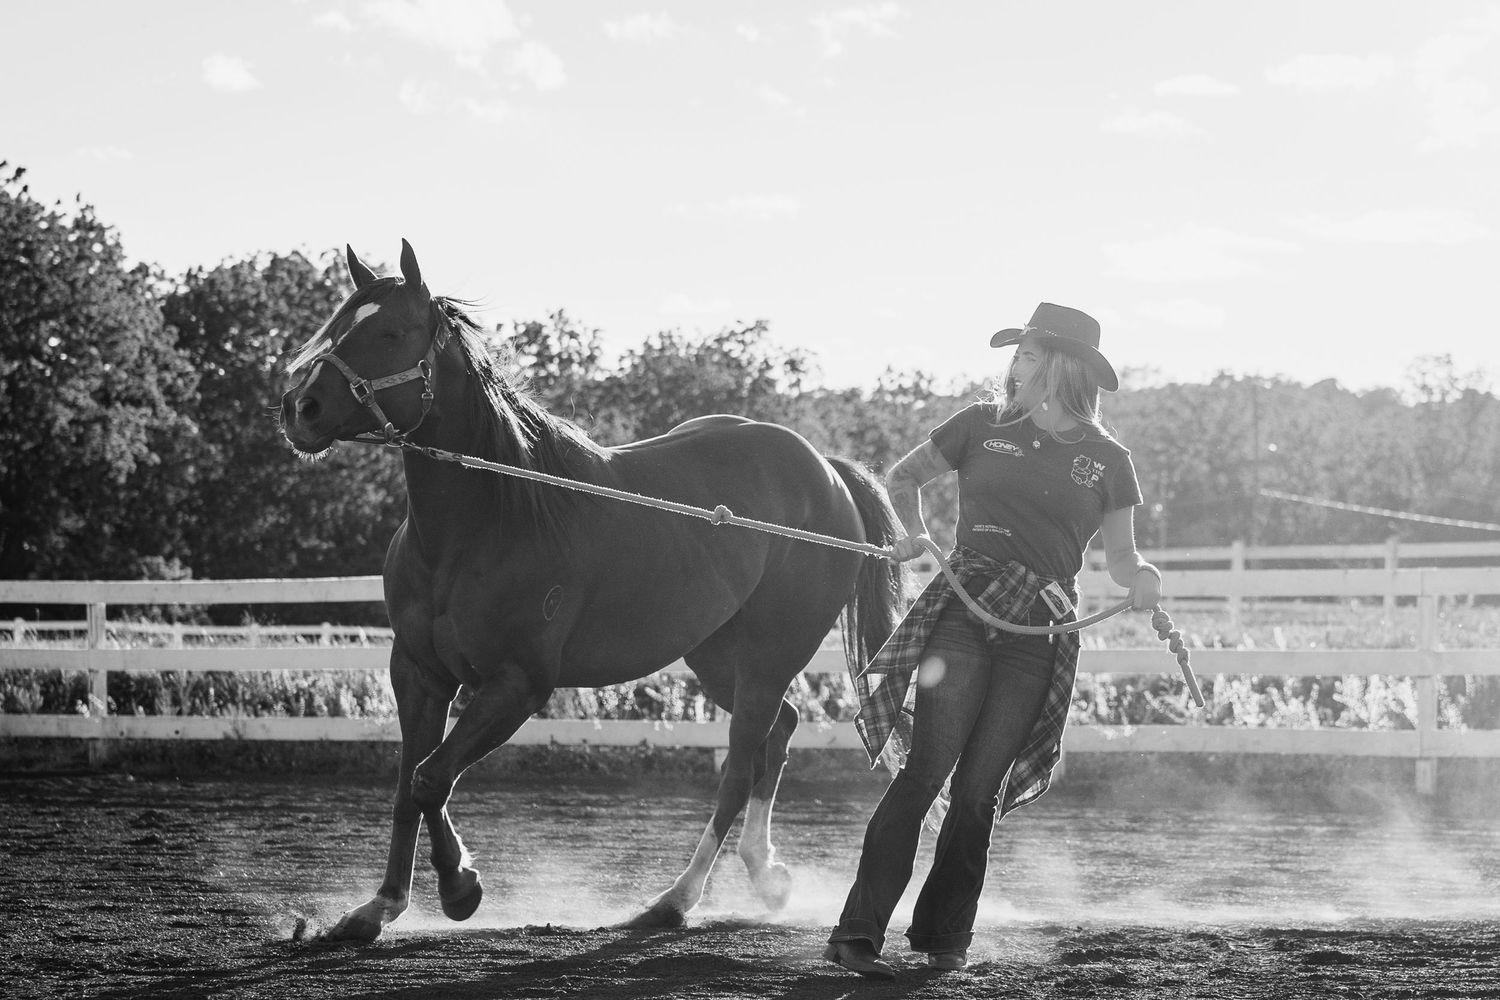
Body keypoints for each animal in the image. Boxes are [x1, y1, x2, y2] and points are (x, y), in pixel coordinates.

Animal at [277, 240, 904, 941]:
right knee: (781, 731)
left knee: (740, 768)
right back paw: (766, 875)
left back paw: (673, 901)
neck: (485, 523)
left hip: (769, 658)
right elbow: (410, 783)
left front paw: (460, 886)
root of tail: (828, 471)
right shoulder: (417, 673)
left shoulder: (519, 683)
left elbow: (430, 777)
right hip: (716, 656)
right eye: (338, 325)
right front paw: (382, 904)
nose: (300, 409)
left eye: (390, 332)